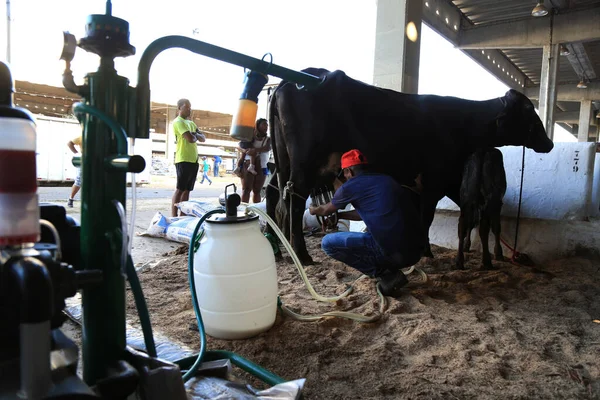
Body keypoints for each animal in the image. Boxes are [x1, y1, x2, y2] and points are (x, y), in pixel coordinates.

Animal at [268, 68, 552, 266]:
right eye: (529, 110)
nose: (549, 143)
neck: (462, 122)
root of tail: (295, 79)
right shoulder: (433, 182)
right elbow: (426, 219)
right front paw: (426, 252)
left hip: (282, 163)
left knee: (274, 196)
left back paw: (281, 250)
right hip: (304, 167)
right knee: (294, 203)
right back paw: (301, 255)